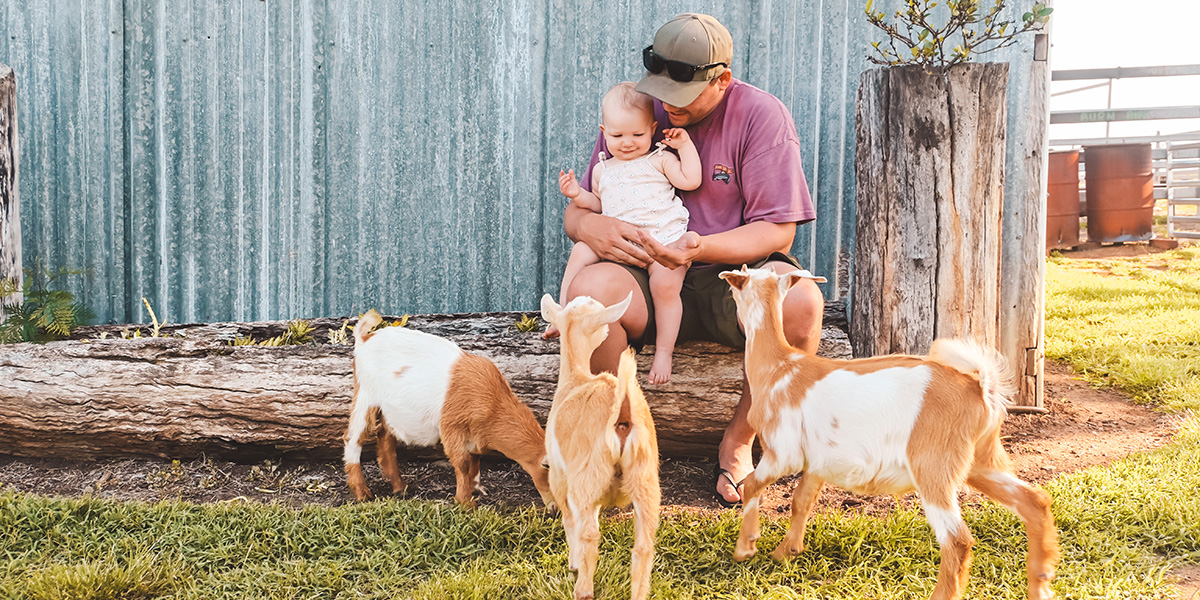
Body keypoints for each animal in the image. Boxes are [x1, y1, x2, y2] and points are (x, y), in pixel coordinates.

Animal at [345, 309, 554, 511]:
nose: (556, 510)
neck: (492, 403)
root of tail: (365, 339)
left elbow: (475, 458)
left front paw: (475, 488)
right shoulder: (452, 426)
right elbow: (462, 463)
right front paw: (466, 503)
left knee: (385, 436)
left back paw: (399, 487)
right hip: (365, 396)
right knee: (353, 439)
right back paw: (362, 493)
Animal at [540, 292, 662, 600]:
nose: (608, 330)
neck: (575, 378)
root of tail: (622, 412)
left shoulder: (560, 474)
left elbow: (569, 520)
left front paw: (572, 563)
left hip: (587, 476)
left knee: (589, 533)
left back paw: (582, 588)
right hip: (644, 479)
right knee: (644, 546)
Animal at [715, 267, 1056, 600]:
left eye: (738, 281)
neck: (780, 366)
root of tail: (980, 388)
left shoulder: (782, 453)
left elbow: (751, 485)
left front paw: (746, 547)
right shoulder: (817, 462)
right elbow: (802, 500)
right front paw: (785, 552)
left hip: (932, 465)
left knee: (957, 540)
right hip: (978, 461)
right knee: (1034, 501)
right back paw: (1040, 585)